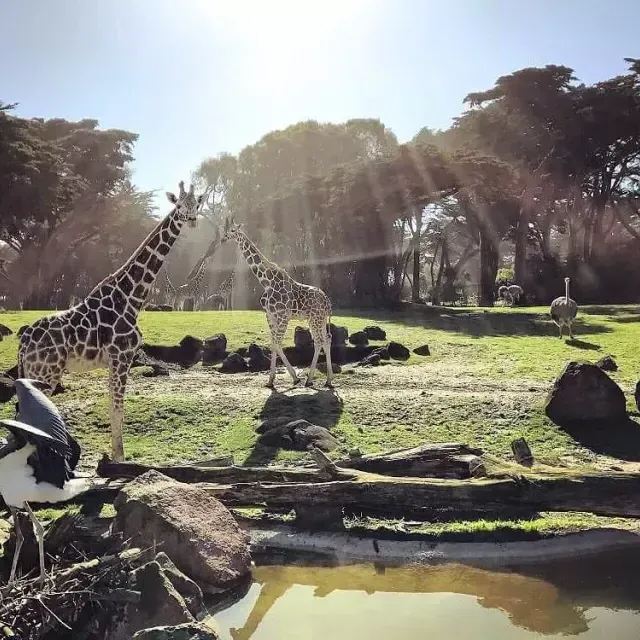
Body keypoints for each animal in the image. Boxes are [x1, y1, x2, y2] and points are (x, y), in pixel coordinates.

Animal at [18, 180, 205, 460]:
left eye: (197, 204)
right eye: (181, 205)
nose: (192, 220)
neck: (131, 298)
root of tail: (22, 344)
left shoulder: (114, 361)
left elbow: (113, 407)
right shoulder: (122, 357)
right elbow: (118, 410)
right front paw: (119, 459)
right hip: (45, 373)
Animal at [221, 218, 336, 388]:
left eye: (233, 230)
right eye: (225, 229)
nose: (223, 238)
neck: (266, 282)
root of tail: (328, 302)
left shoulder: (283, 316)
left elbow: (276, 343)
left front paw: (294, 378)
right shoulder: (270, 316)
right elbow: (273, 343)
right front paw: (270, 381)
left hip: (315, 319)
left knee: (319, 341)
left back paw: (309, 380)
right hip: (318, 320)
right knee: (326, 340)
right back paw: (328, 380)